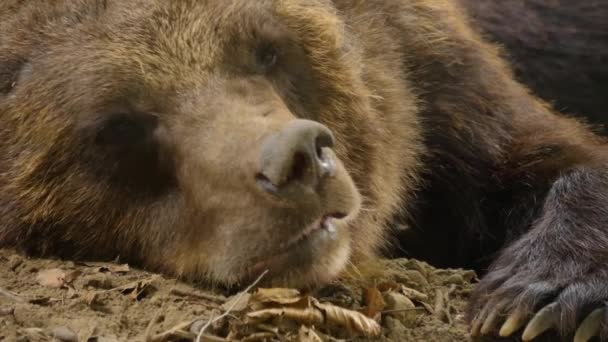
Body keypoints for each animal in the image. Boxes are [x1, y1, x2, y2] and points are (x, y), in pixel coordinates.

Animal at [0, 0, 604, 342]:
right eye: (119, 124)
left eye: (266, 49)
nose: (299, 159)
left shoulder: (437, 89)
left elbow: (546, 156)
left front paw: (538, 297)